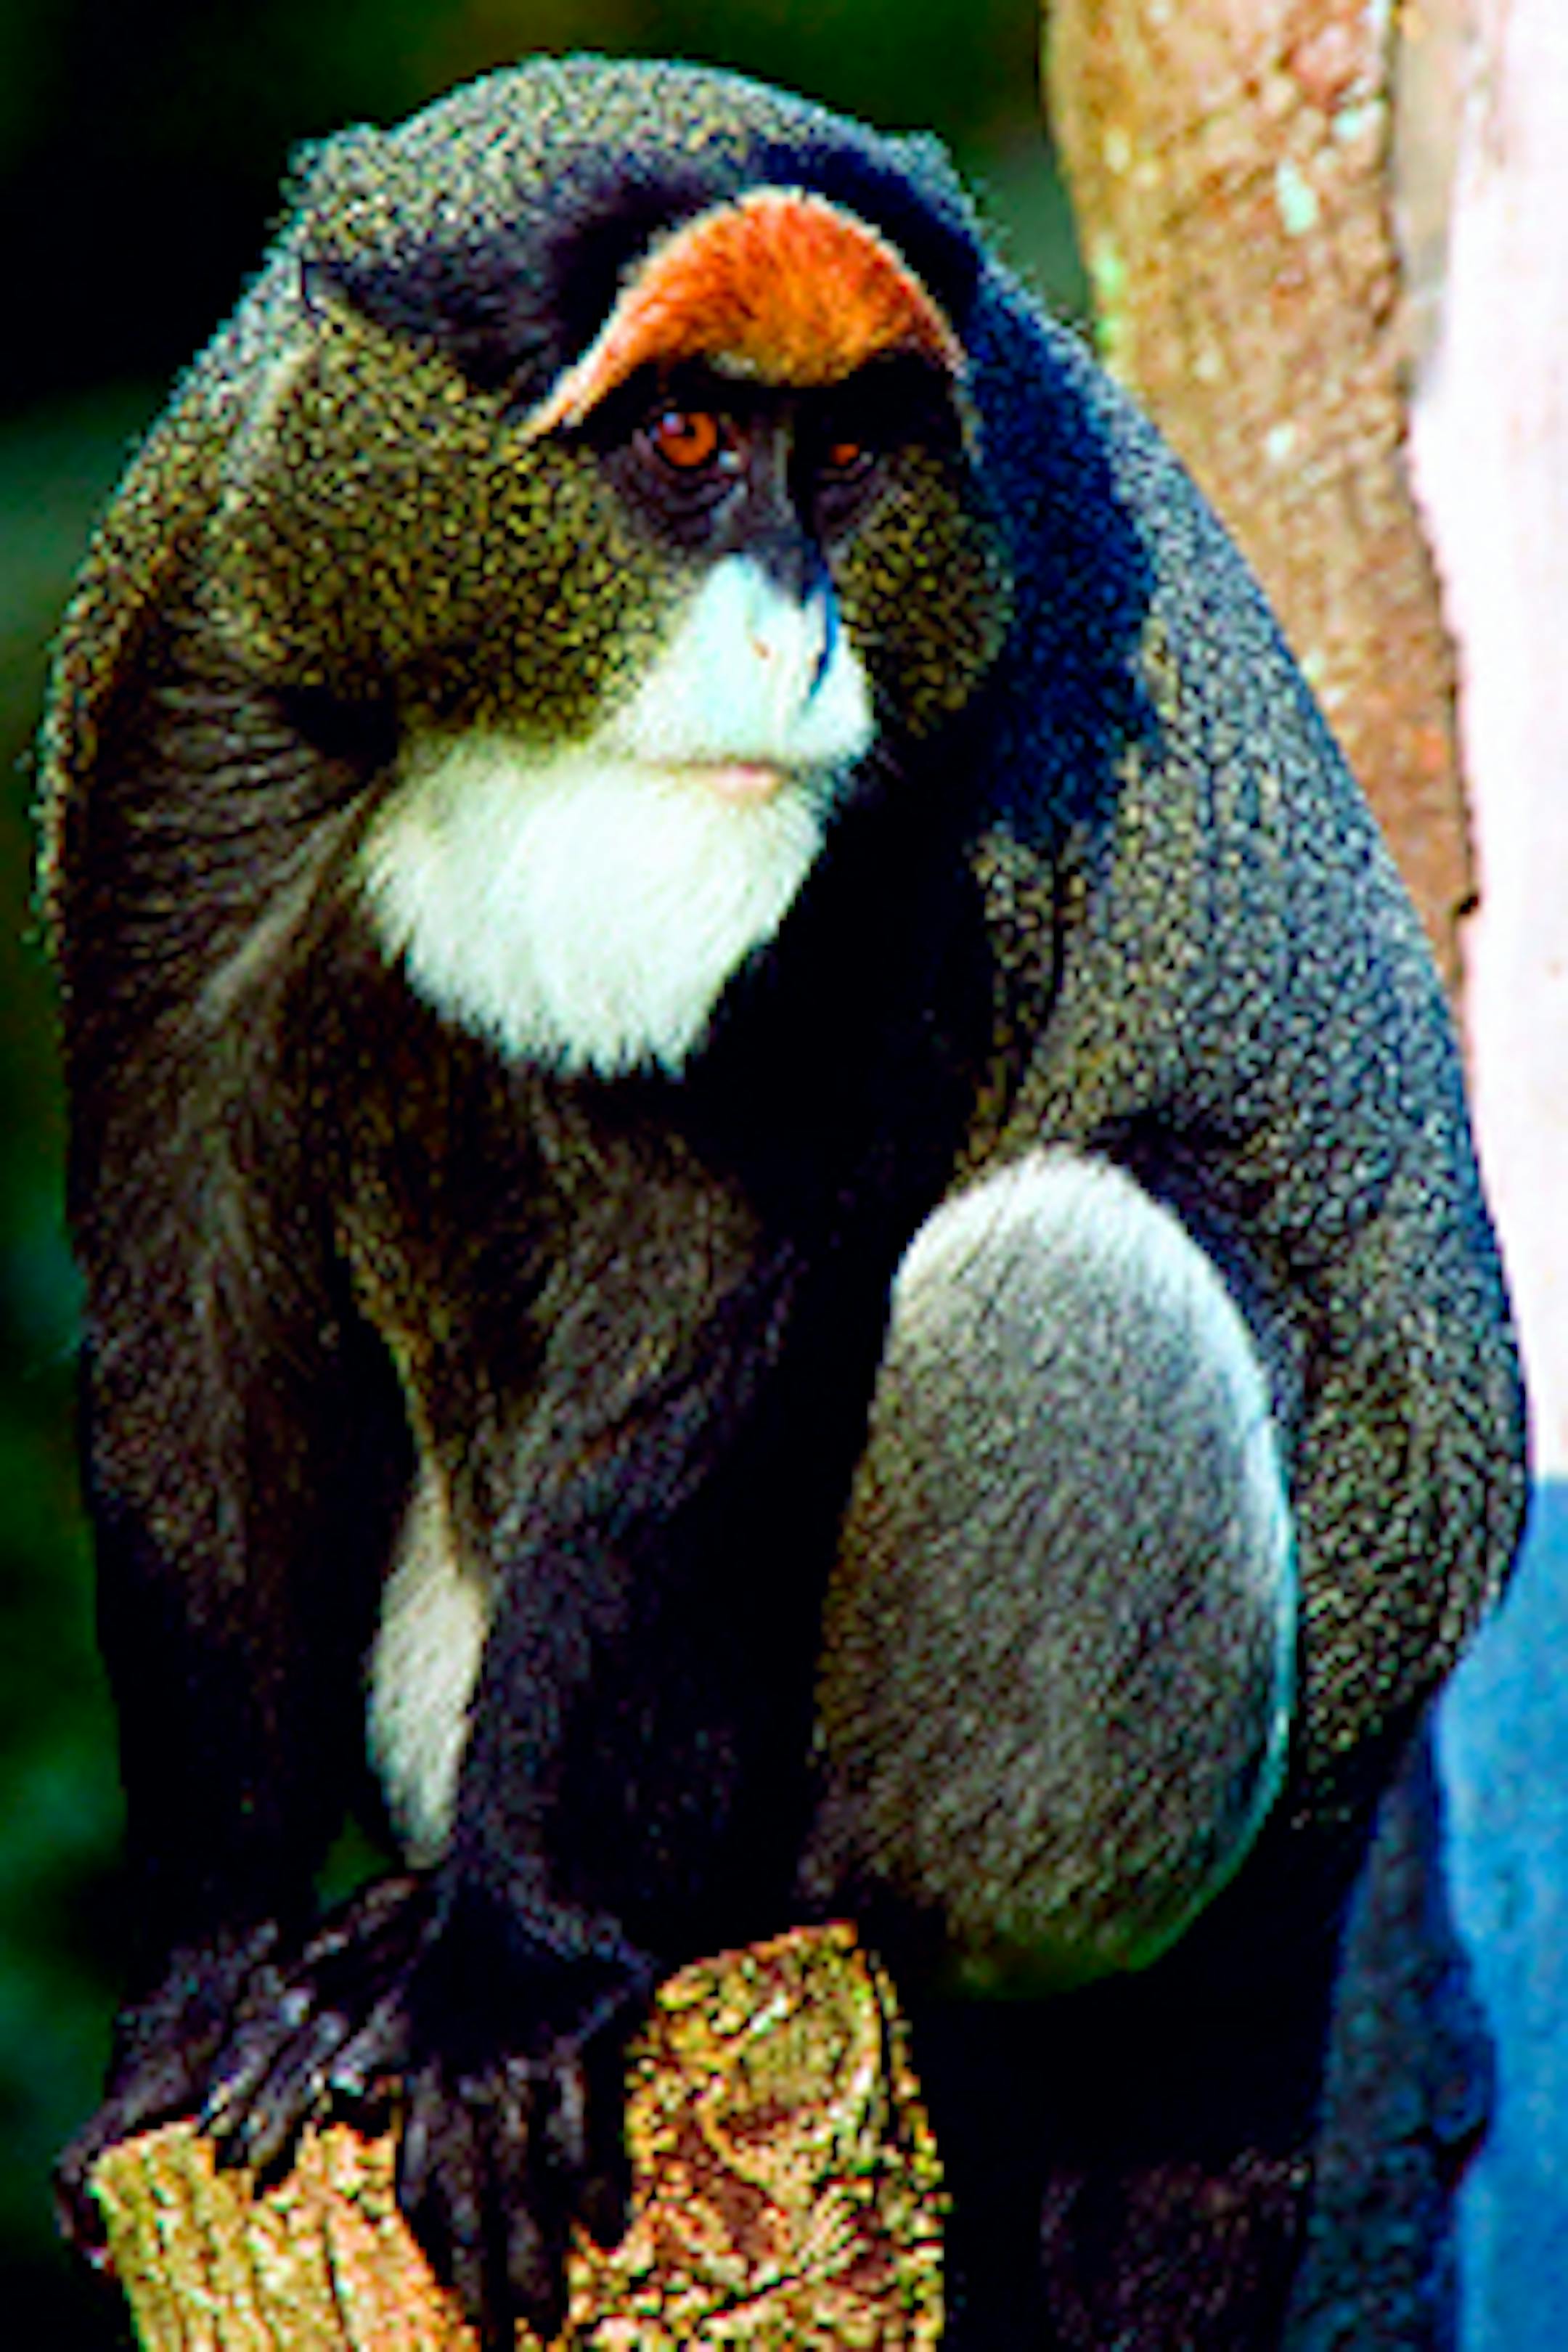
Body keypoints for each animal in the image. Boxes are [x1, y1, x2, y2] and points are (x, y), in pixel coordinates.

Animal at [38, 54, 1525, 2348]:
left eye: (841, 460)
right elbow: (191, 1317)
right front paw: (199, 1998)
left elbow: (713, 1339)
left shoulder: (928, 824)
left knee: (1075, 1264)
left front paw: (511, 1984)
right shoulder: (197, 633)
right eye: (683, 441)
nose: (796, 643)